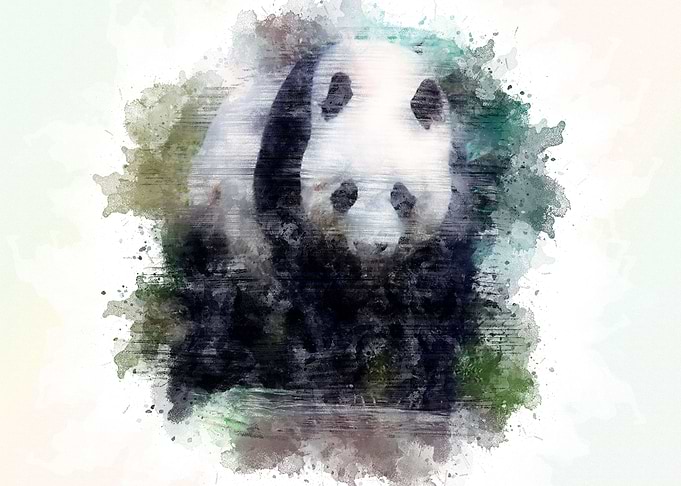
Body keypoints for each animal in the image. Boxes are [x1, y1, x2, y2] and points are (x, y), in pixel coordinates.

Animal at [170, 39, 480, 421]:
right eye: (346, 193)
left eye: (400, 196)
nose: (371, 246)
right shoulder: (289, 145)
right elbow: (308, 278)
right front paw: (335, 382)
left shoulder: (452, 194)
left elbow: (435, 297)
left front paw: (428, 396)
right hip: (220, 218)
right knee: (217, 297)